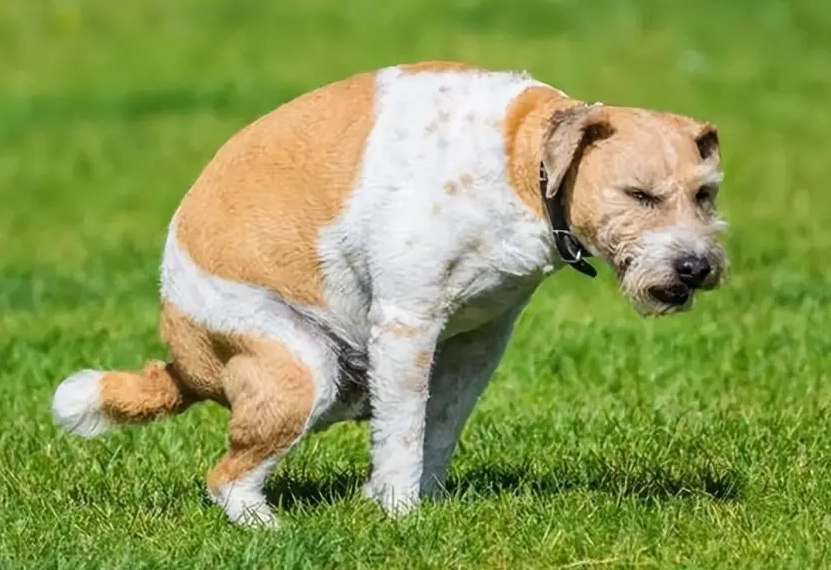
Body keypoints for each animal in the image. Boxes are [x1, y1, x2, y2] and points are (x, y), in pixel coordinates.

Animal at [50, 61, 728, 524]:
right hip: (302, 369)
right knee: (226, 477)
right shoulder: (407, 325)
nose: (696, 266)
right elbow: (404, 430)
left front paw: (419, 501)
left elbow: (440, 424)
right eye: (639, 195)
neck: (522, 164)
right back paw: (273, 529)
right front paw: (400, 513)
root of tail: (183, 364)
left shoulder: (479, 341)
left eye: (705, 194)